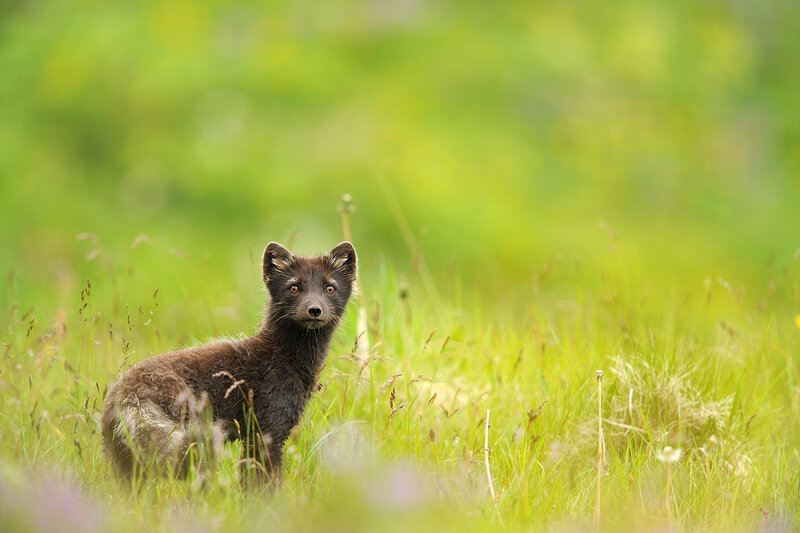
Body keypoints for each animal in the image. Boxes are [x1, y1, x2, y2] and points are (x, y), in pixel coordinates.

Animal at [101, 241, 356, 485]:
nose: (314, 309)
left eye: (330, 287)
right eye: (294, 287)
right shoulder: (267, 428)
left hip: (124, 462)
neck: (285, 358)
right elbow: (262, 482)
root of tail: (125, 397)